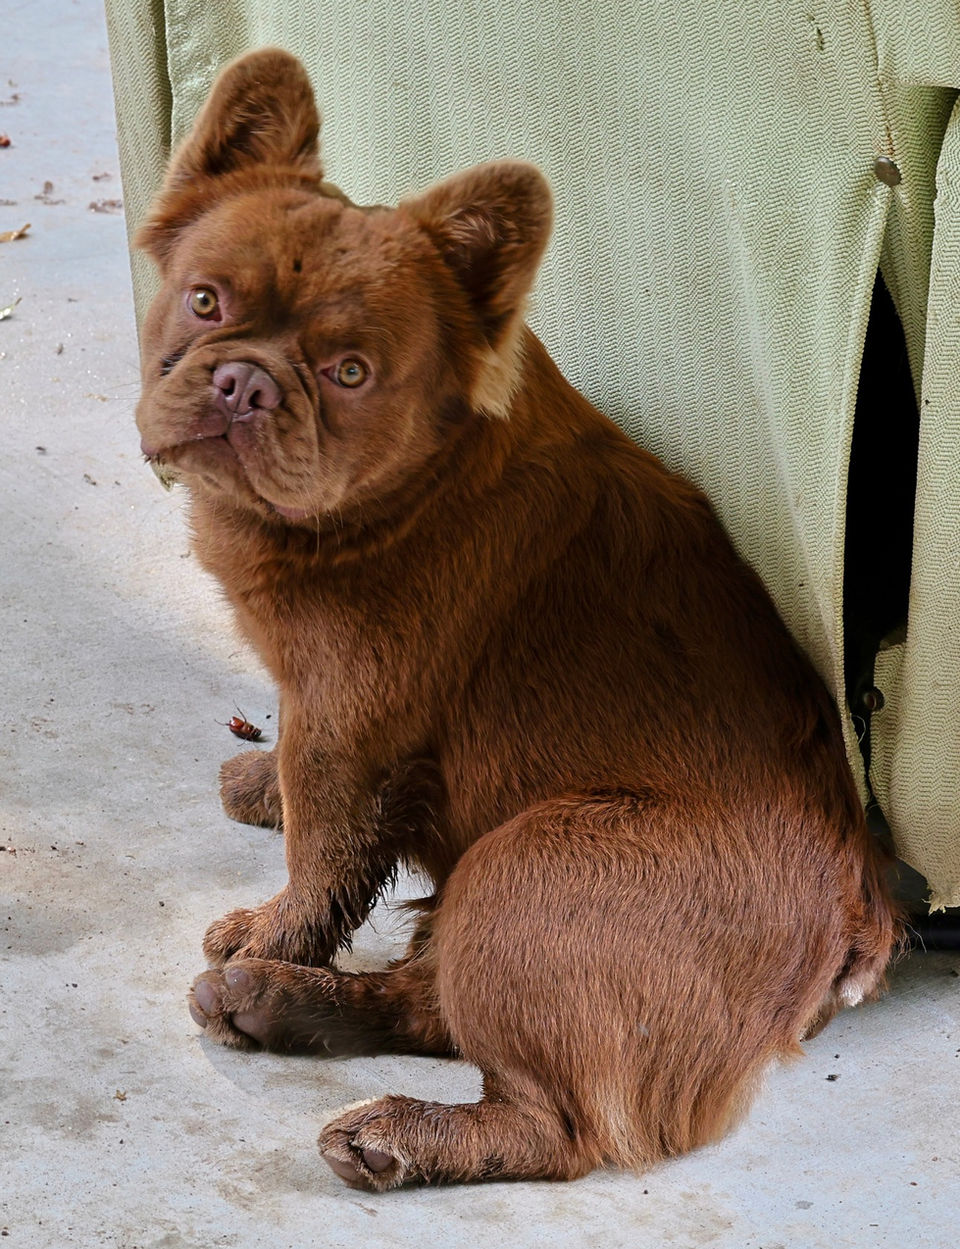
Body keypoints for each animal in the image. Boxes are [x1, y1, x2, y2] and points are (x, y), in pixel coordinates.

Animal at [134, 48, 898, 1191]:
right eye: (203, 299)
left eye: (350, 373)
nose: (242, 381)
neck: (410, 480)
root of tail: (860, 908)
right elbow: (309, 805)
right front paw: (262, 792)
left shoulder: (348, 716)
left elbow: (324, 850)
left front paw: (269, 927)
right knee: (433, 998)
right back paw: (281, 1008)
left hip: (527, 870)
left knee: (557, 1120)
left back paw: (392, 1125)